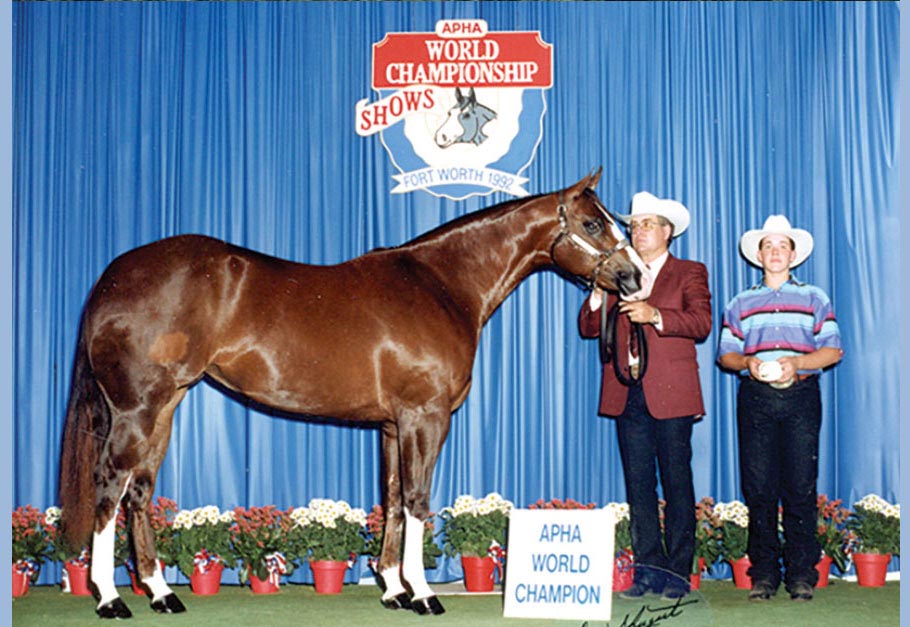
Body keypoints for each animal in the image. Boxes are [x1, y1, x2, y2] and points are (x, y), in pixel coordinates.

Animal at [58, 169, 656, 620]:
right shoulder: (424, 417)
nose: (635, 278)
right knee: (110, 485)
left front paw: (393, 589)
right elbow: (417, 500)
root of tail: (114, 277)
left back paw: (161, 593)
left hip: (165, 406)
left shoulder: (391, 425)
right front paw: (425, 594)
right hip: (136, 408)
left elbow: (391, 498)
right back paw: (110, 599)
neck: (443, 285)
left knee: (138, 491)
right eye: (592, 223)